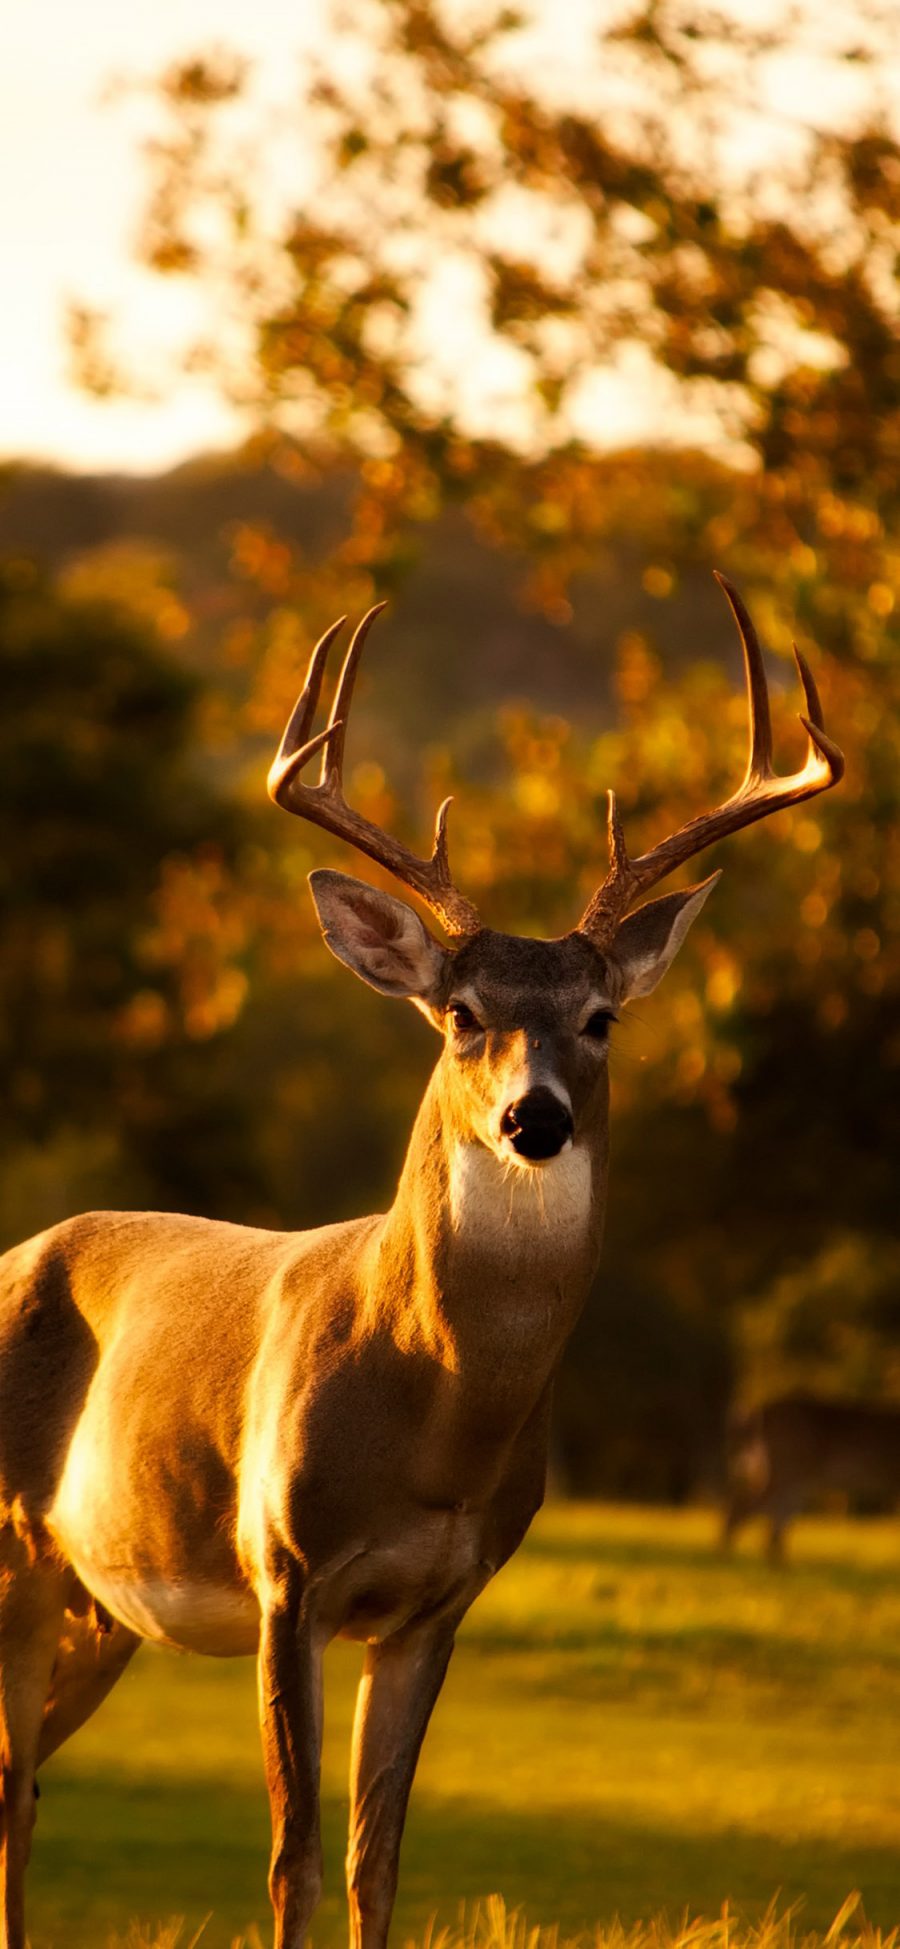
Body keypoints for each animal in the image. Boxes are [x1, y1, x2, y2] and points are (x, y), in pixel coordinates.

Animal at [0, 576, 841, 1949]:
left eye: (601, 1016)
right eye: (461, 1013)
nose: (534, 1117)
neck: (432, 1414)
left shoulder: (439, 1601)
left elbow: (374, 1857)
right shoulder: (283, 1568)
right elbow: (291, 1856)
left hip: (96, 1600)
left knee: (22, 1779)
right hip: (21, 1555)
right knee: (9, 1776)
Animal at [724, 1395, 900, 1559]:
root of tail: (759, 1413)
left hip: (794, 1477)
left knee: (775, 1517)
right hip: (789, 1469)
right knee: (747, 1506)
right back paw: (728, 1554)